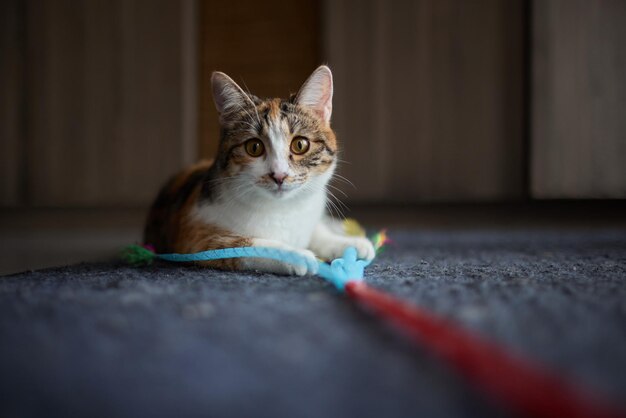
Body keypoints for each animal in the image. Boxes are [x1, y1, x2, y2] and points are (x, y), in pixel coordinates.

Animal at [144, 65, 372, 276]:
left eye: (300, 145)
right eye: (254, 147)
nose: (279, 175)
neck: (282, 210)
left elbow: (315, 230)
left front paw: (347, 244)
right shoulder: (195, 237)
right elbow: (243, 245)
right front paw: (296, 255)